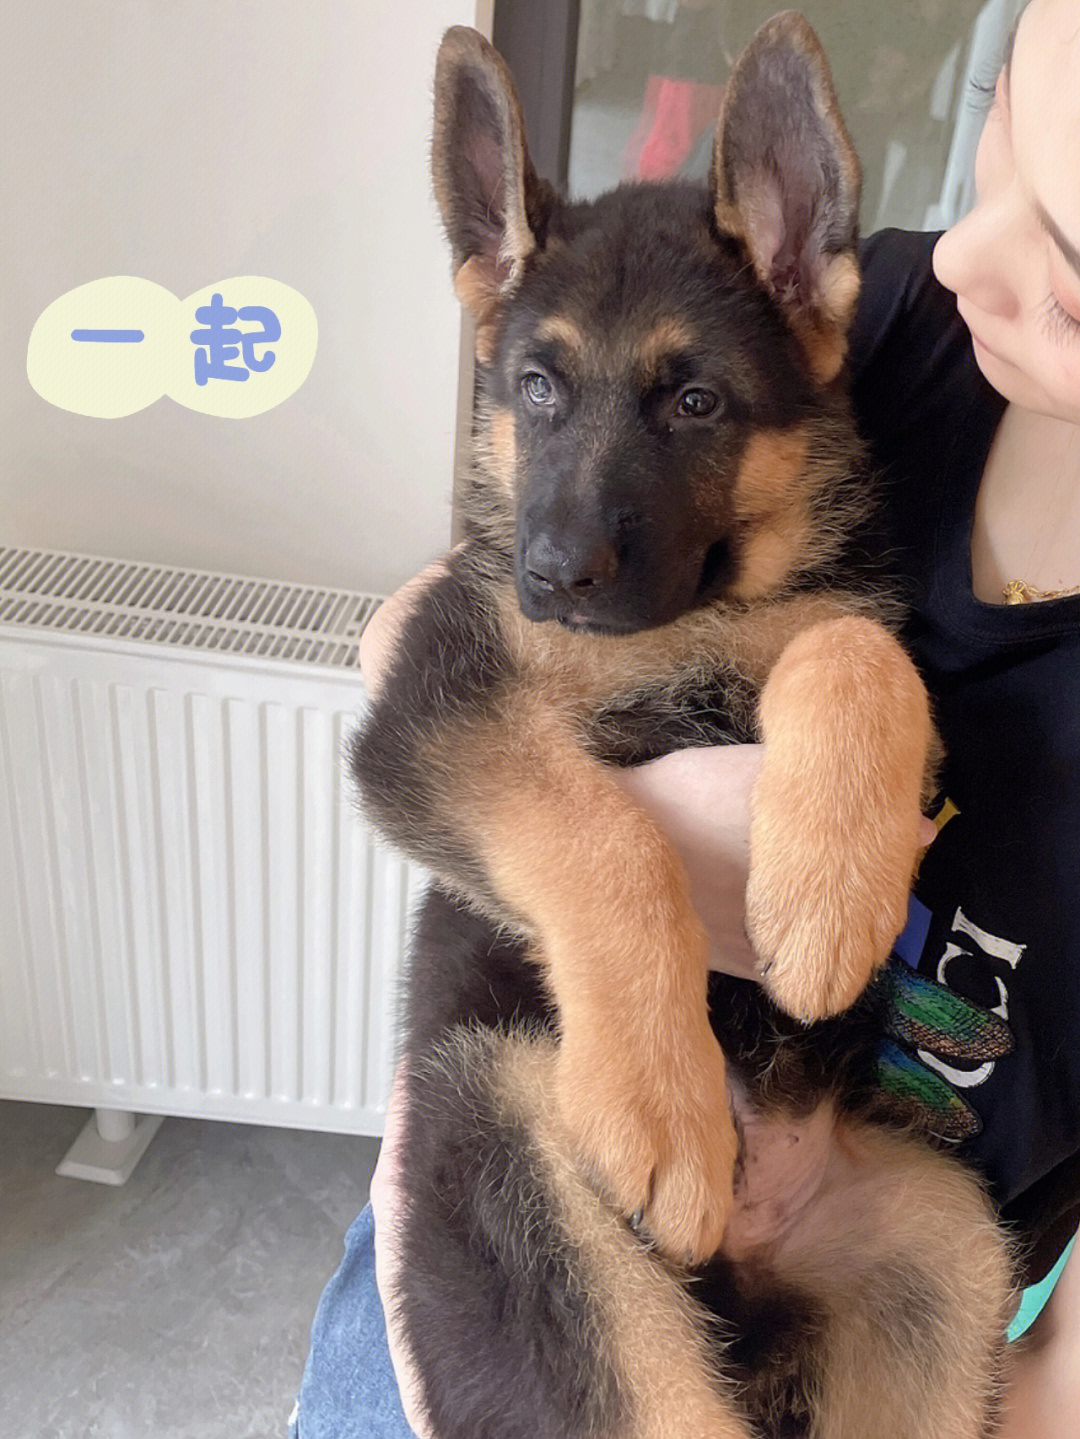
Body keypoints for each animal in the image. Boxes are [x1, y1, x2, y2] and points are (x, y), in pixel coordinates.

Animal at [352, 14, 1012, 1439]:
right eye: (536, 387)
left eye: (696, 402)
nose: (554, 576)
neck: (691, 619)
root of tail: (742, 1280)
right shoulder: (434, 702)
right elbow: (600, 831)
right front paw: (662, 1099)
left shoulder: (846, 646)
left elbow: (853, 645)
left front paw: (826, 896)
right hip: (516, 1160)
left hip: (943, 1256)